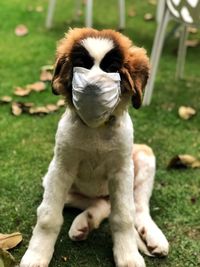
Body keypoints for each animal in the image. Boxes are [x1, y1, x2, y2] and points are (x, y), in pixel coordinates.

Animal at [19, 27, 169, 267]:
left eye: (112, 68)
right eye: (81, 64)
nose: (92, 88)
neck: (96, 127)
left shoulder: (122, 171)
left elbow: (124, 216)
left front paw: (128, 255)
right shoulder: (61, 169)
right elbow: (48, 215)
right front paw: (37, 254)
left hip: (144, 156)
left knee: (138, 207)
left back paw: (154, 237)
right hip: (52, 180)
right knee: (102, 205)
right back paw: (85, 221)